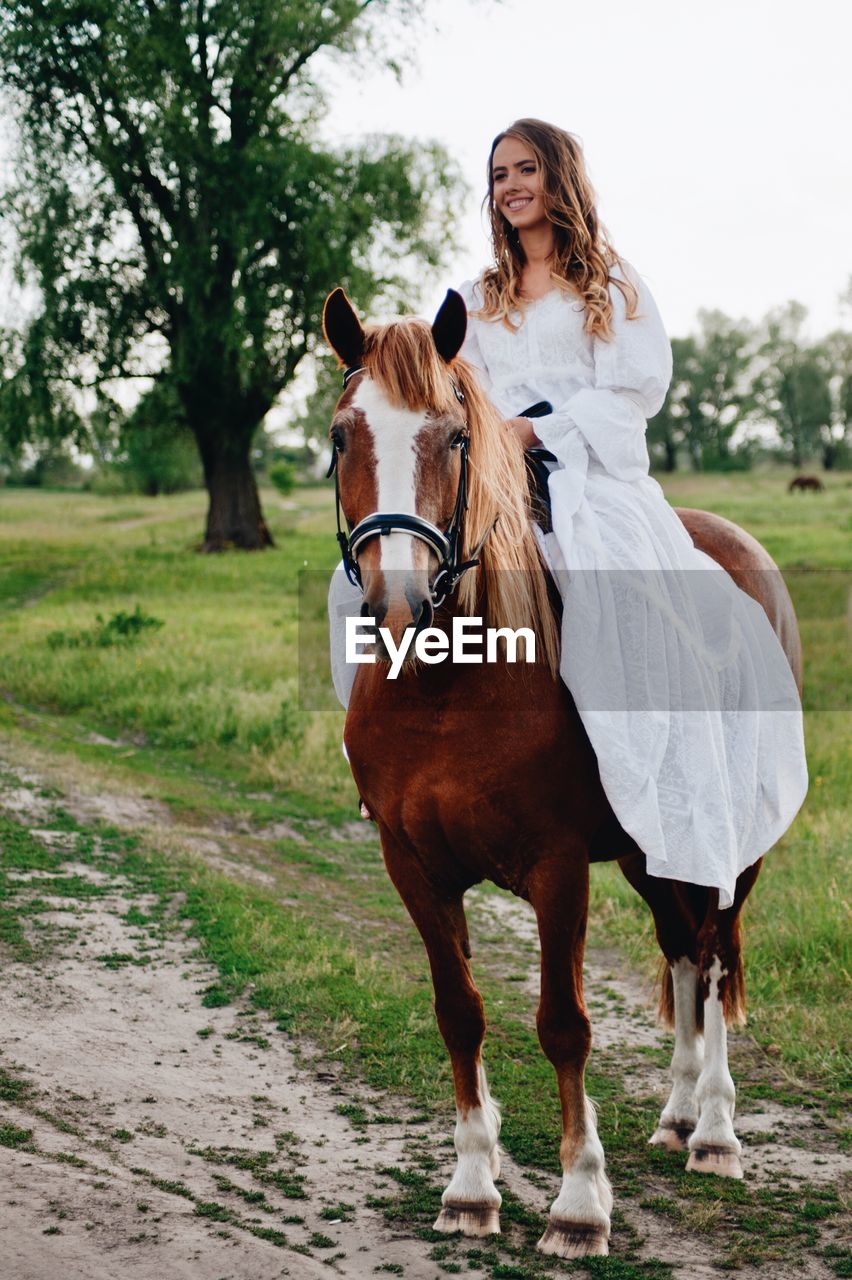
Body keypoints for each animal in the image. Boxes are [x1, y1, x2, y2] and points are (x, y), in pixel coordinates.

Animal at [319, 290, 803, 1259]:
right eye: (343, 435)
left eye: (454, 436)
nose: (397, 601)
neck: (453, 679)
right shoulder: (412, 865)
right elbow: (460, 1011)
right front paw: (471, 1186)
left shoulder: (557, 866)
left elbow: (563, 1025)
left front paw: (580, 1203)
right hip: (655, 850)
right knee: (682, 948)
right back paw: (678, 1117)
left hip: (729, 847)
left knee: (714, 957)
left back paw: (717, 1132)